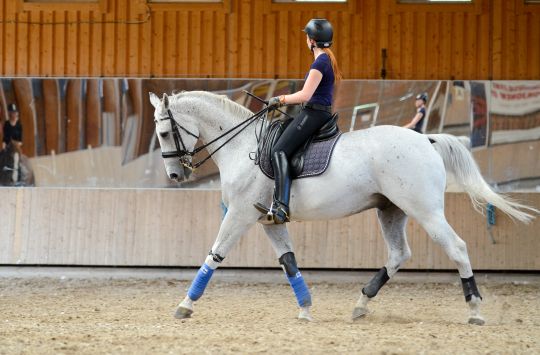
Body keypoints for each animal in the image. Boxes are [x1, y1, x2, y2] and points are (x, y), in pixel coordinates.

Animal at [149, 89, 536, 326]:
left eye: (165, 133)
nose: (175, 175)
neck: (243, 146)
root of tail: (425, 139)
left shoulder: (242, 215)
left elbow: (214, 255)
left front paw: (185, 305)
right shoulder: (269, 221)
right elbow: (289, 262)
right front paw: (306, 309)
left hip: (425, 211)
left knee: (456, 248)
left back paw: (475, 309)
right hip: (390, 210)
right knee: (399, 254)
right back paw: (361, 303)